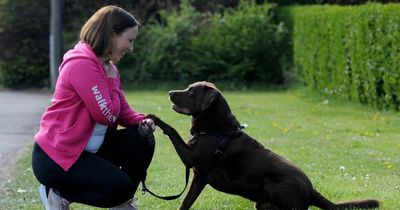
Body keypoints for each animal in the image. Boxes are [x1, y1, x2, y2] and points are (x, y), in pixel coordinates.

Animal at [148, 81, 380, 210]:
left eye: (191, 91)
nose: (170, 92)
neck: (217, 128)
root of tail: (312, 190)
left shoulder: (192, 159)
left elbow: (172, 130)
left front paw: (155, 118)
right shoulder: (199, 177)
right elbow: (185, 203)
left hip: (275, 187)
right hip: (261, 204)